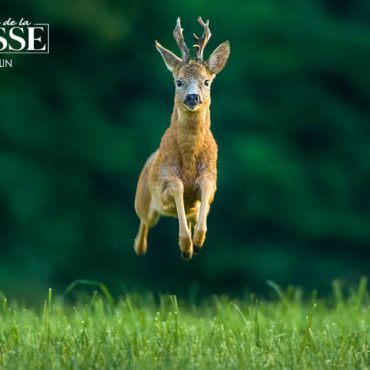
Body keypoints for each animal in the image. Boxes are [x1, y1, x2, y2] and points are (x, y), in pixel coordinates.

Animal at [134, 18, 230, 260]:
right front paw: (185, 245)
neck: (189, 156)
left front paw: (197, 241)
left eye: (206, 81)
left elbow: (207, 188)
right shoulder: (165, 175)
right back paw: (140, 246)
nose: (192, 97)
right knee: (144, 221)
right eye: (178, 81)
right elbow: (177, 187)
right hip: (142, 200)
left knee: (189, 215)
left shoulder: (211, 172)